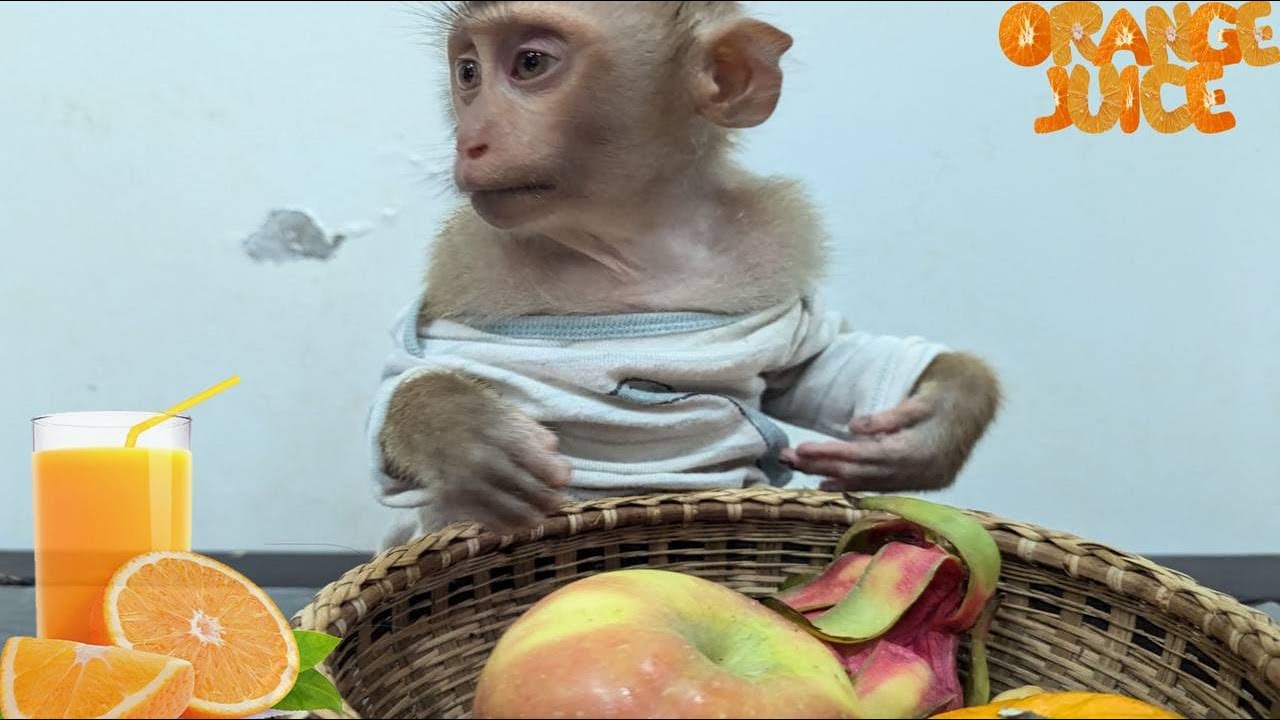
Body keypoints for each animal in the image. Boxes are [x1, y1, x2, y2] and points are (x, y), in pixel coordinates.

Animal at [368, 1, 1001, 547]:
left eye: (529, 63)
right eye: (468, 72)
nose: (469, 140)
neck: (628, 246)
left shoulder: (769, 280)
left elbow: (817, 364)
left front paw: (929, 429)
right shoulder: (462, 291)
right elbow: (405, 378)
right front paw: (462, 433)